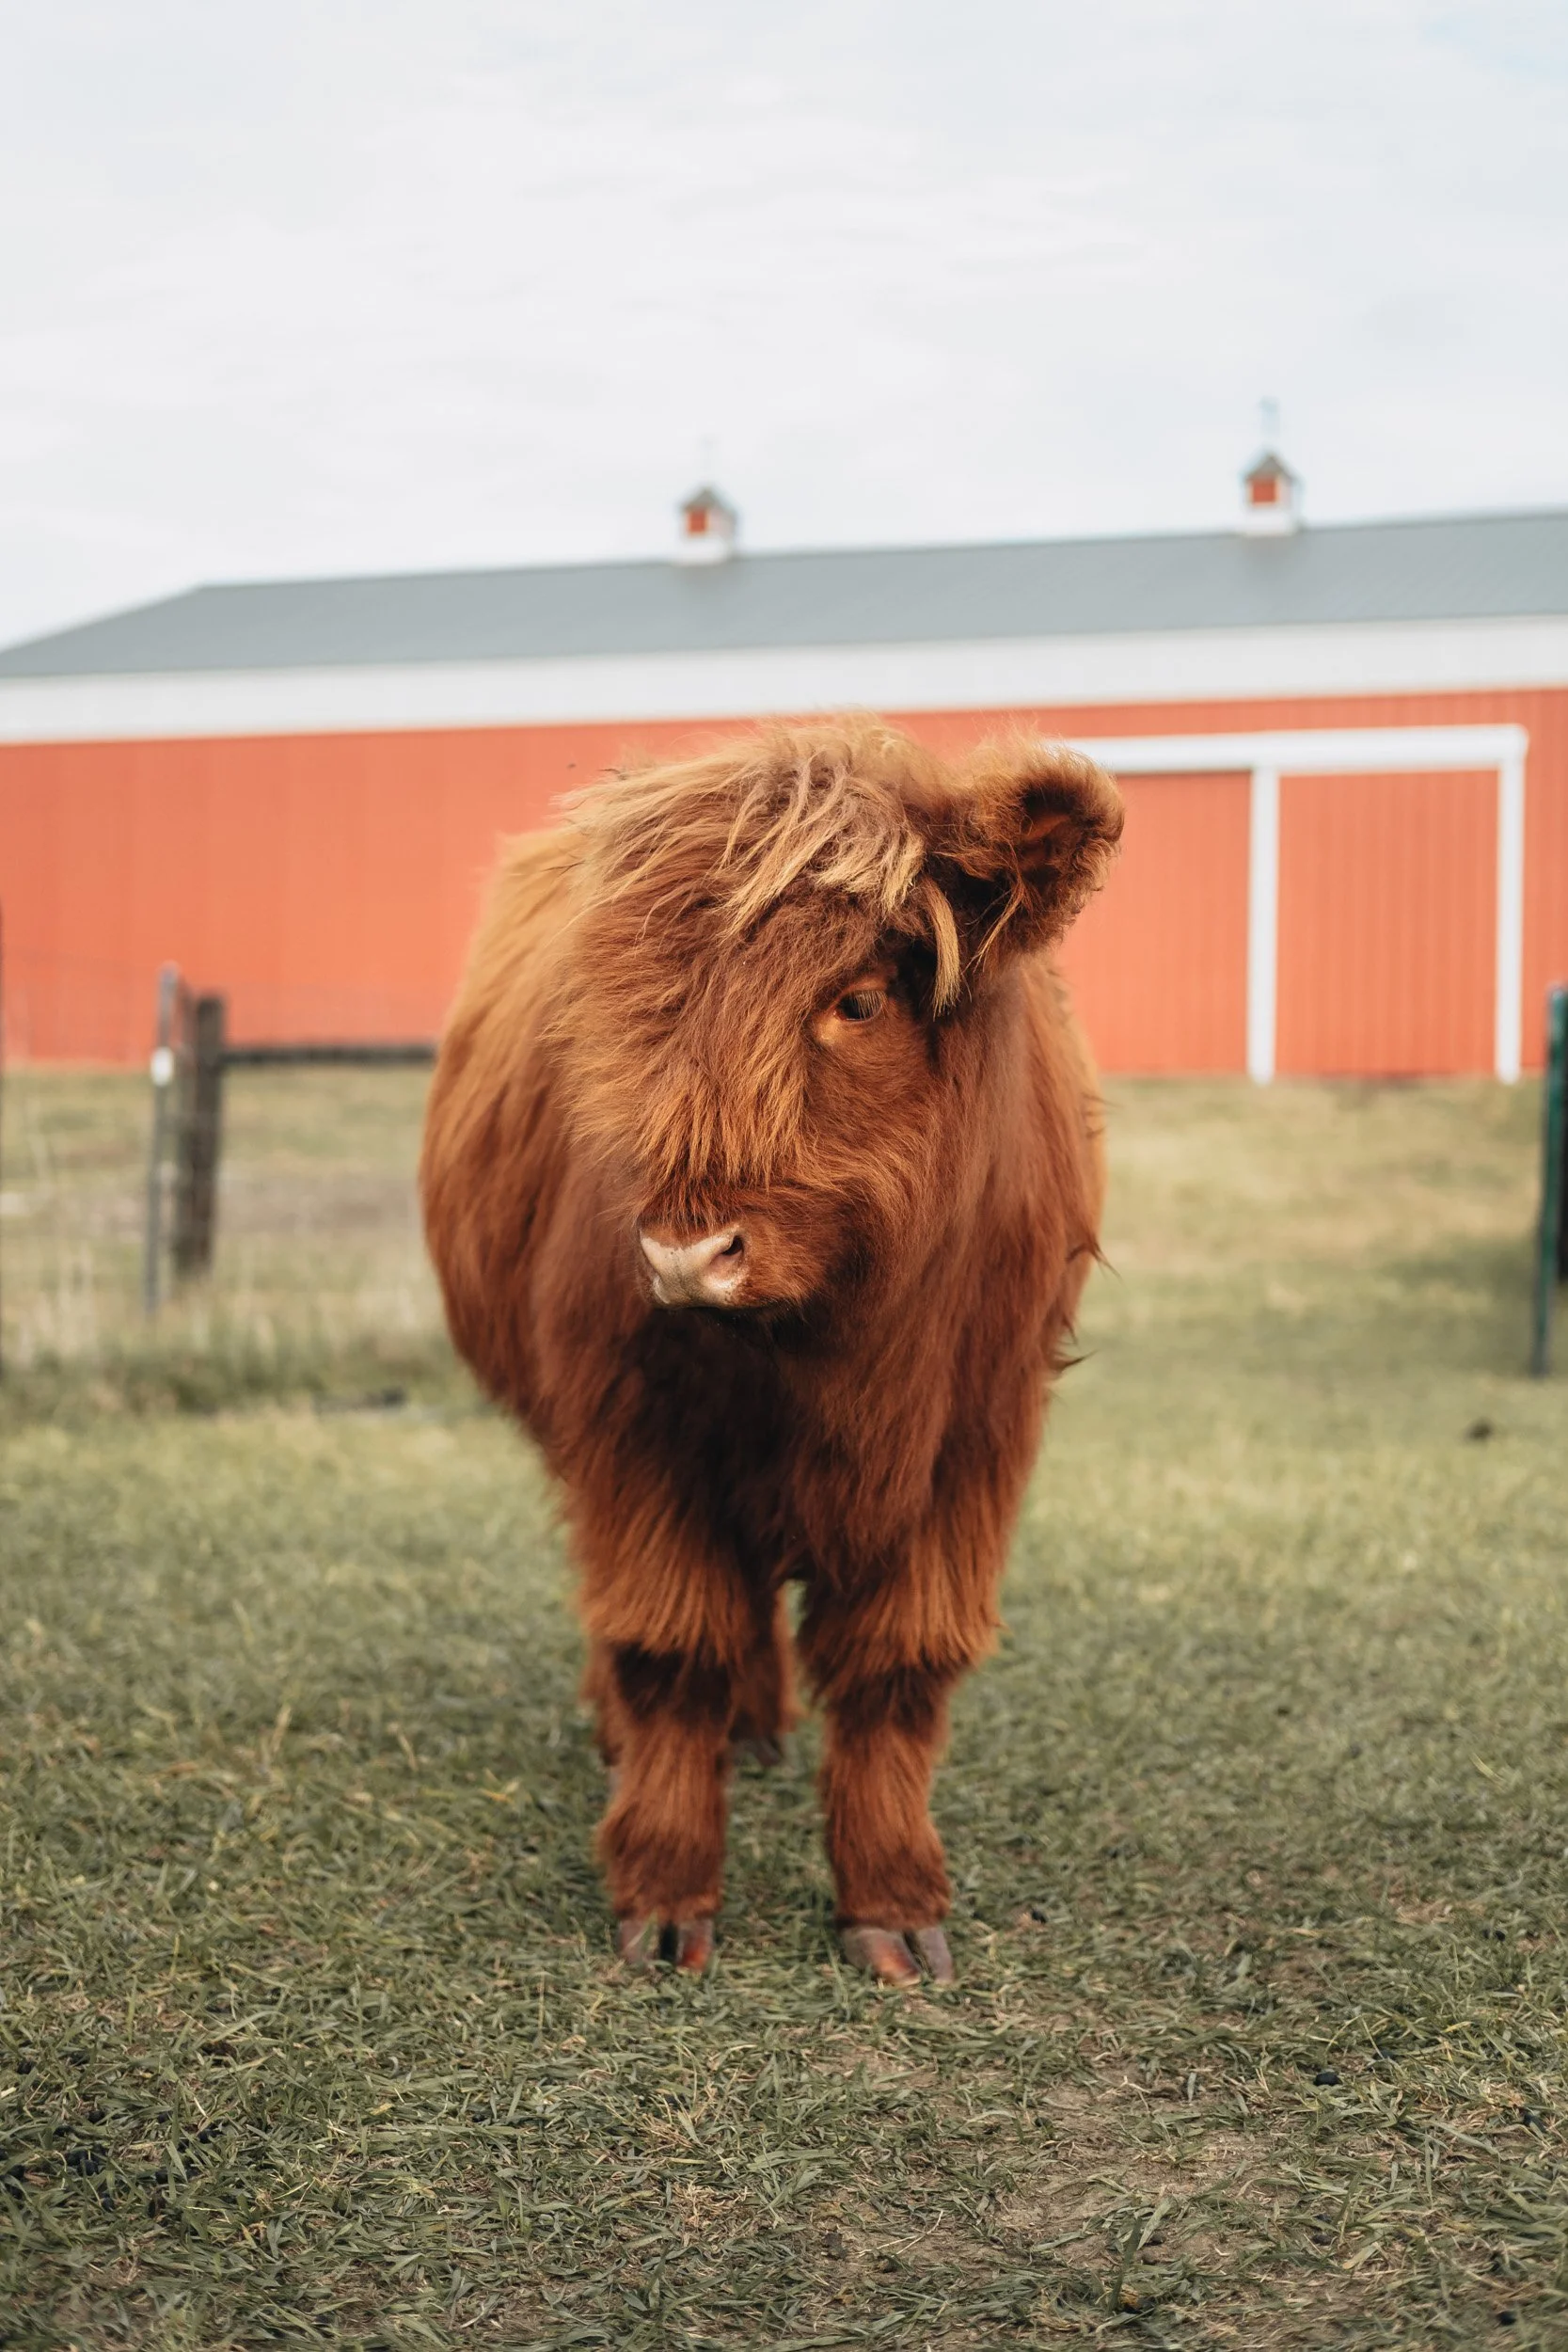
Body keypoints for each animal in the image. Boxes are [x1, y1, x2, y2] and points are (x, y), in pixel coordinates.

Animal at [420, 720, 1122, 1984]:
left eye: (858, 999)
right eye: (637, 1011)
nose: (685, 1252)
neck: (842, 1349)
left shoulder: (975, 1442)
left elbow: (898, 1665)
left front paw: (892, 1904)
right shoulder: (629, 1430)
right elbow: (667, 1644)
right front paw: (661, 1895)